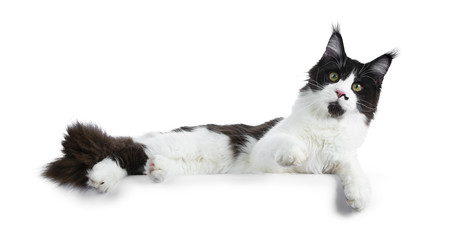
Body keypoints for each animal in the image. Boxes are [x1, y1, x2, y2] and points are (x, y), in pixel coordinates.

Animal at [41, 25, 394, 210]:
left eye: (357, 86)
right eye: (334, 77)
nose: (341, 93)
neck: (325, 127)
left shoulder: (342, 157)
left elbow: (353, 169)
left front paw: (359, 197)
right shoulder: (265, 148)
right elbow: (286, 143)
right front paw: (296, 153)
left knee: (142, 161)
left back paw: (158, 171)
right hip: (171, 142)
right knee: (123, 151)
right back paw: (102, 177)